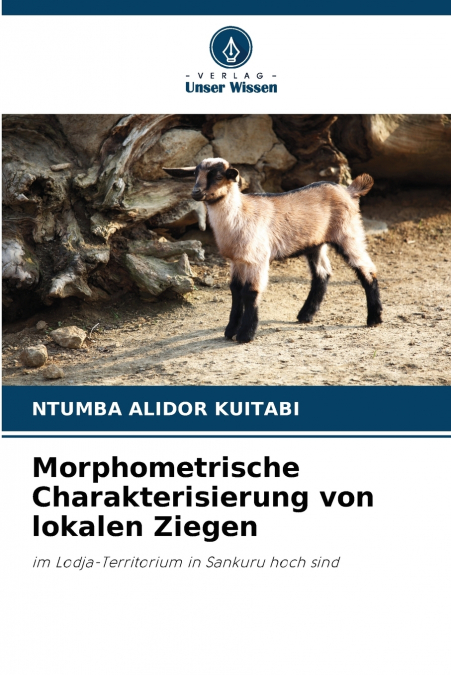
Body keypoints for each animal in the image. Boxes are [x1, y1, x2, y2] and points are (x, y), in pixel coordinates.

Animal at [164, 158, 382, 343]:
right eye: (195, 175)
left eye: (218, 176)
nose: (196, 193)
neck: (240, 214)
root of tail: (349, 191)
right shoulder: (237, 260)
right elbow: (235, 291)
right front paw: (230, 331)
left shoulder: (257, 258)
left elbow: (250, 292)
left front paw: (245, 335)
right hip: (315, 244)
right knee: (322, 274)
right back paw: (305, 315)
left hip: (348, 232)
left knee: (367, 269)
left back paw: (374, 318)